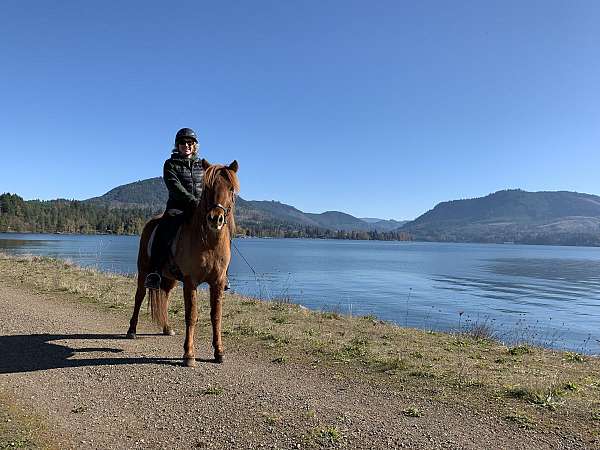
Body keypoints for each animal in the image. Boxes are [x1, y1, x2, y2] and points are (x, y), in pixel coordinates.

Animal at [126, 160, 239, 368]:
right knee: (139, 297)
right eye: (208, 187)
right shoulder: (190, 281)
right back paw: (132, 330)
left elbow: (216, 316)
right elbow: (191, 316)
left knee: (164, 296)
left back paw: (167, 327)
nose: (215, 218)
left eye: (231, 188)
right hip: (144, 271)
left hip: (168, 278)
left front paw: (219, 352)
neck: (208, 242)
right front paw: (189, 354)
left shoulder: (217, 283)